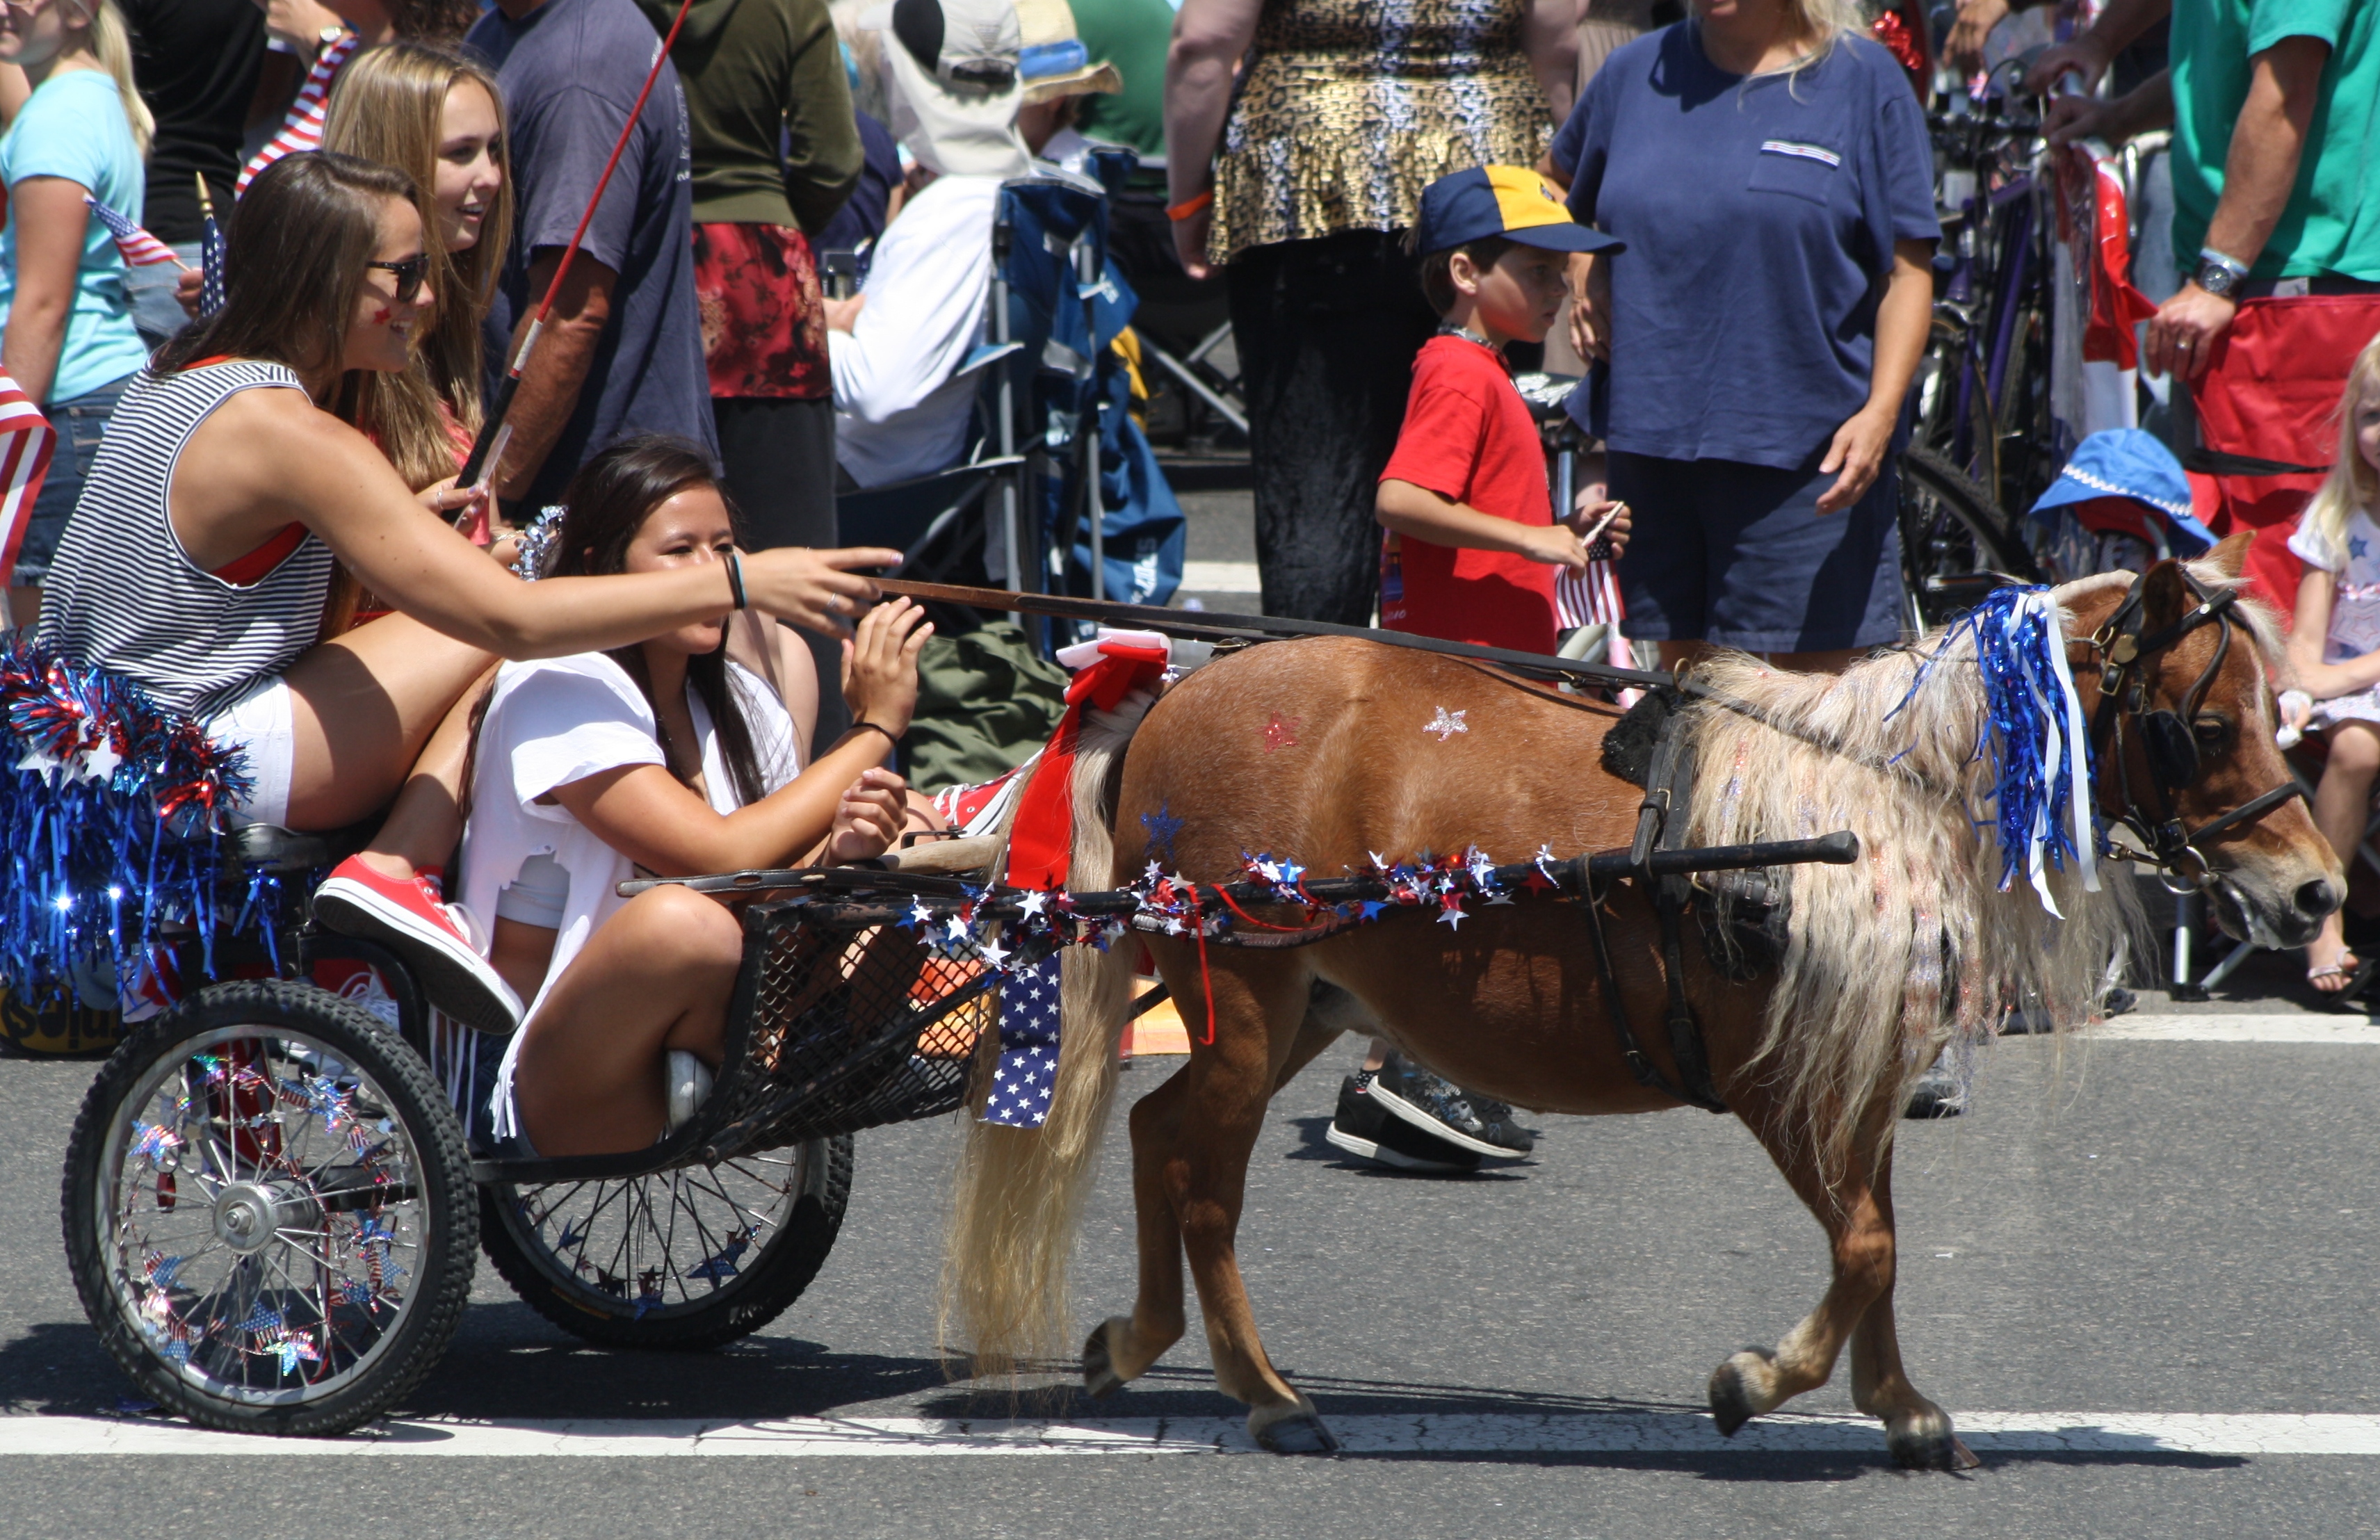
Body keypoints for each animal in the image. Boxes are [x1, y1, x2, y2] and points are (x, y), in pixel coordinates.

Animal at [939, 537, 2340, 1468]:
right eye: (2205, 726)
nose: (2319, 893)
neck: (1857, 809)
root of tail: (1170, 693)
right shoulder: (1782, 1087)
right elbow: (1865, 1248)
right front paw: (1757, 1380)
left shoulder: (1855, 1081)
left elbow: (1878, 1245)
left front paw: (1900, 1407)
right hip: (1245, 990)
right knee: (1205, 1184)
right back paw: (1265, 1391)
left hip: (1299, 1010)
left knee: (1158, 1134)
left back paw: (1137, 1342)